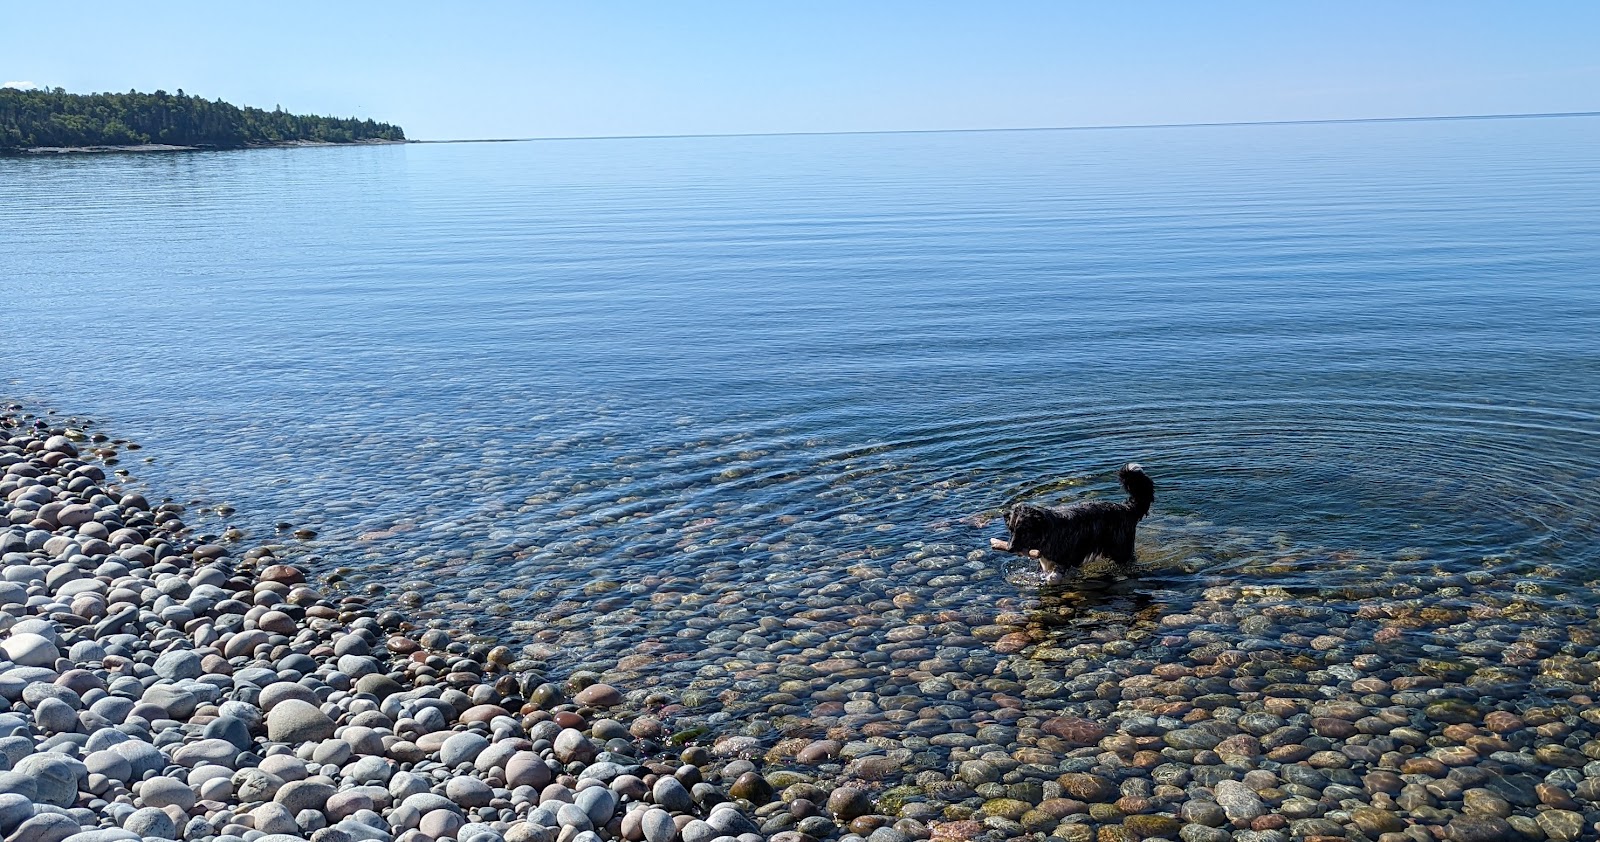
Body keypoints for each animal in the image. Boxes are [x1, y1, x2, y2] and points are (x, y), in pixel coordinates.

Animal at [985, 464, 1152, 585]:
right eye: (1011, 530)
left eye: (1023, 531)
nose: (1009, 548)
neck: (1046, 531)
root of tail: (1127, 508)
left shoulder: (1066, 558)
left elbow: (1056, 574)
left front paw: (1052, 580)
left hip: (1121, 550)